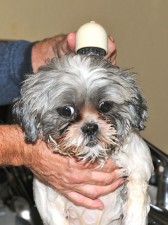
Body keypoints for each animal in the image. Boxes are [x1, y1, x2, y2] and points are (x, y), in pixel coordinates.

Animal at [13, 55, 154, 225]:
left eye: (105, 106)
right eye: (66, 111)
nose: (90, 128)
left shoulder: (140, 167)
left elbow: (136, 200)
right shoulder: (50, 203)